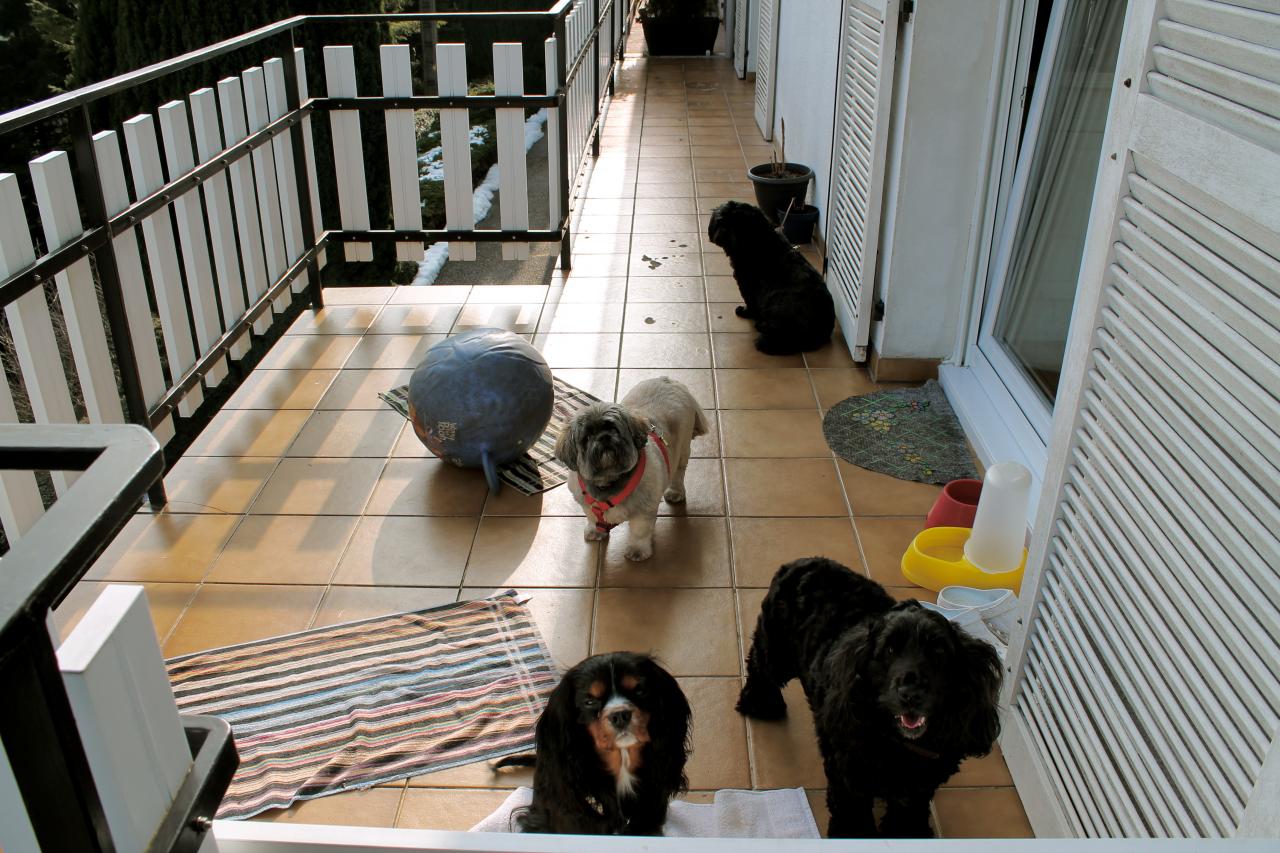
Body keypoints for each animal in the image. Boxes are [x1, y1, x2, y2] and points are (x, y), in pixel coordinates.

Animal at [706, 199, 834, 350]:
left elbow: (750, 301)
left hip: (777, 300)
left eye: (738, 224)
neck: (759, 242)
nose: (723, 232)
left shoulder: (748, 284)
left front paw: (746, 312)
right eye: (721, 220)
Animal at [742, 555, 998, 835]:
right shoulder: (847, 774)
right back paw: (760, 704)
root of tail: (801, 562)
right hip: (777, 650)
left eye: (938, 652)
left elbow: (909, 810)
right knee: (758, 664)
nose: (911, 693)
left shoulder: (920, 784)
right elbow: (851, 810)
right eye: (889, 650)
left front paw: (909, 832)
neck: (898, 743)